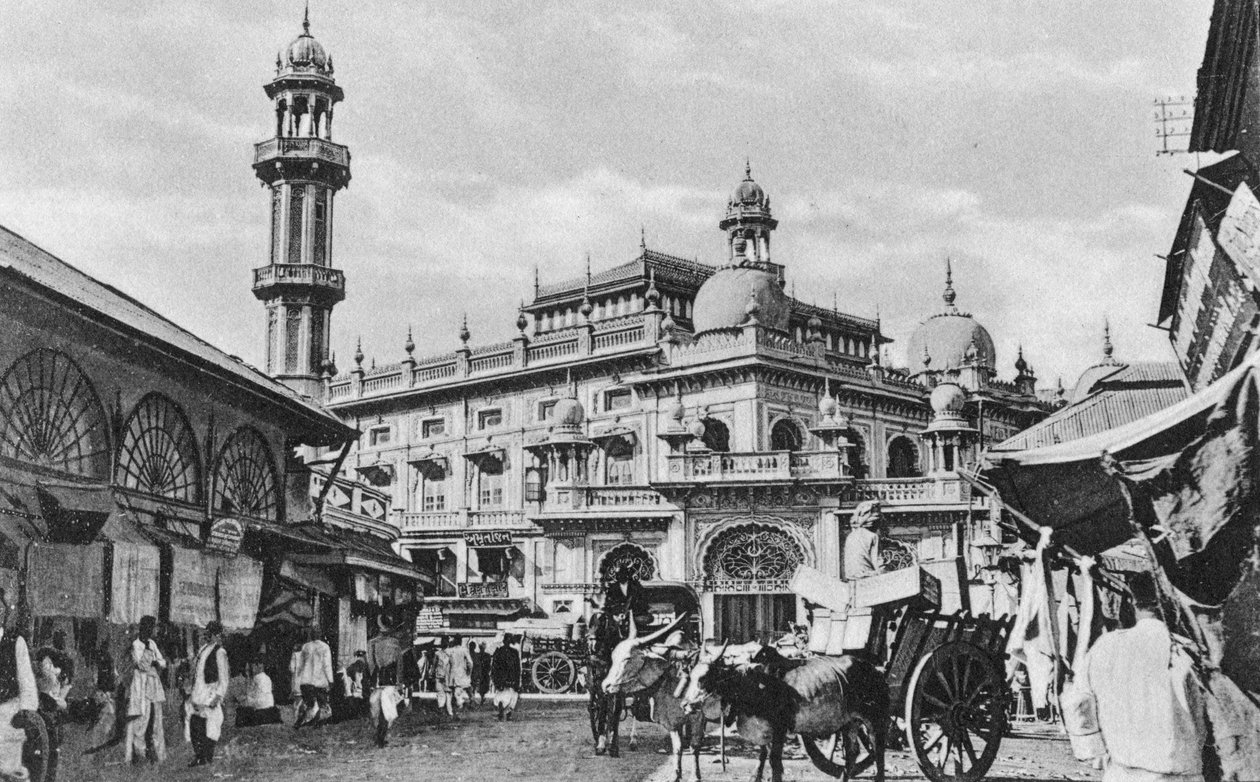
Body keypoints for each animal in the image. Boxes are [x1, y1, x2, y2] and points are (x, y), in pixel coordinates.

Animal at [604, 612, 725, 780]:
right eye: (613, 656)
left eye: (628, 658)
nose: (605, 686)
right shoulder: (672, 721)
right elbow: (677, 747)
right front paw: (676, 775)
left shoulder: (698, 718)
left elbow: (695, 746)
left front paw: (695, 775)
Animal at [680, 644, 887, 780]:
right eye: (691, 676)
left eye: (704, 678)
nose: (685, 704)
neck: (753, 682)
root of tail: (876, 670)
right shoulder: (765, 732)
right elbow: (762, 758)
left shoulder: (780, 728)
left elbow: (775, 762)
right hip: (850, 722)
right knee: (852, 753)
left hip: (875, 720)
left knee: (878, 752)